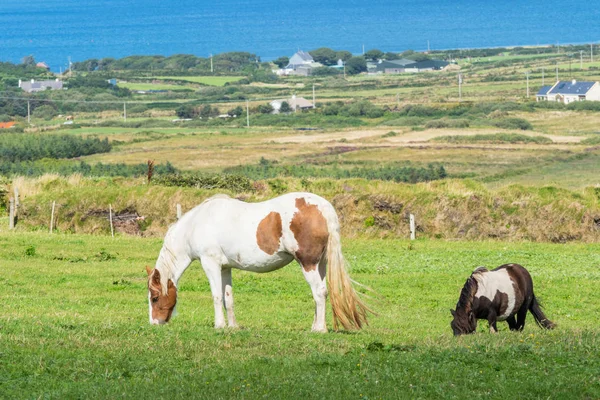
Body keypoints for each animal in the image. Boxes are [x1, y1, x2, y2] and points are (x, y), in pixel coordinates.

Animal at [146, 191, 370, 332]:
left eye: (155, 298)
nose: (154, 323)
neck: (196, 224)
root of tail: (324, 208)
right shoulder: (225, 267)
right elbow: (228, 298)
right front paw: (233, 327)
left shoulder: (210, 264)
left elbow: (216, 297)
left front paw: (219, 325)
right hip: (320, 265)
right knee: (322, 292)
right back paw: (315, 326)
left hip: (308, 264)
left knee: (319, 292)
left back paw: (320, 329)